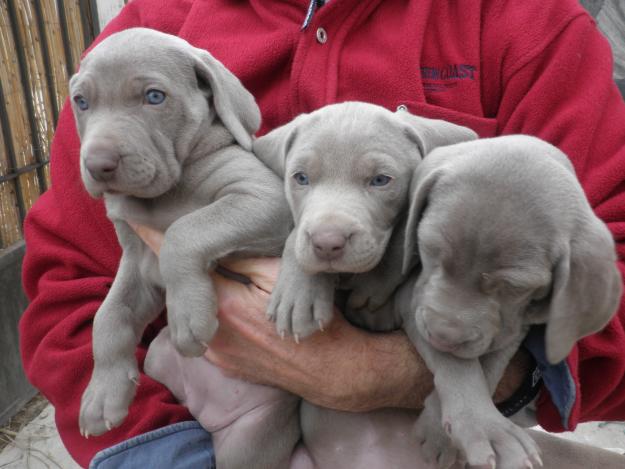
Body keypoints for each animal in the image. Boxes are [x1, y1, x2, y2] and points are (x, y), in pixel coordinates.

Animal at [68, 27, 292, 462]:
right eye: (81, 102)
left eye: (154, 97)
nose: (97, 165)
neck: (164, 195)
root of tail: (209, 414)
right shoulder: (138, 264)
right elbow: (109, 316)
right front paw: (102, 395)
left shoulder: (265, 198)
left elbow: (185, 232)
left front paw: (188, 314)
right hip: (157, 356)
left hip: (252, 439)